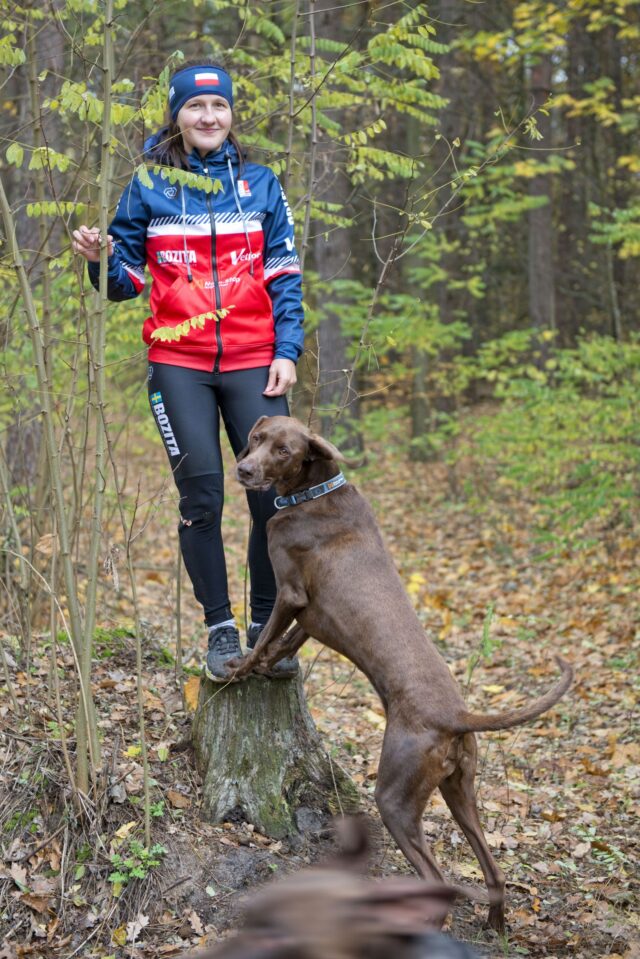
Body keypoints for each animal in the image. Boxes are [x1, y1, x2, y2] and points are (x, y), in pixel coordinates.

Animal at [232, 416, 572, 932]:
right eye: (255, 439)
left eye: (284, 450)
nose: (244, 469)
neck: (313, 492)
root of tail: (458, 716)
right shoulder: (312, 614)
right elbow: (286, 643)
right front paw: (271, 666)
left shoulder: (290, 592)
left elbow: (264, 640)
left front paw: (240, 670)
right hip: (459, 788)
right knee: (494, 870)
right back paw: (493, 926)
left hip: (395, 794)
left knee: (437, 878)